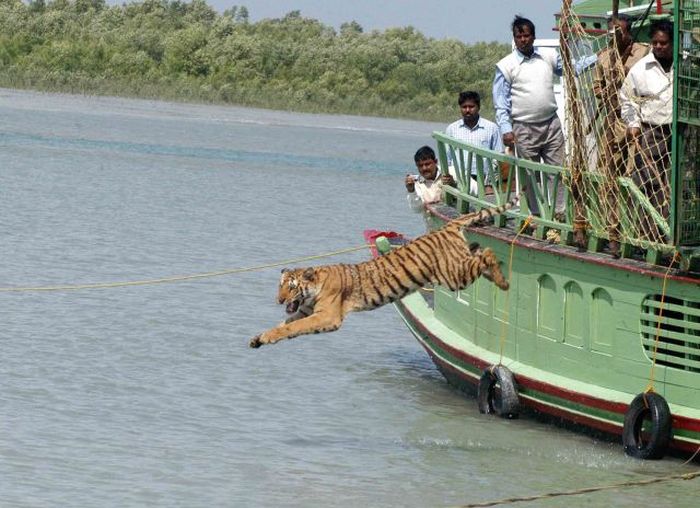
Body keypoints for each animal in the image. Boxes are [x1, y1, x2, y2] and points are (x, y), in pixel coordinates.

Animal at [249, 195, 516, 350]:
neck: (312, 289)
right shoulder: (304, 311)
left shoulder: (327, 316)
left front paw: (267, 336)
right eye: (280, 286)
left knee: (488, 253)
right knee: (478, 253)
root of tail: (447, 226)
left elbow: (292, 327)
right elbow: (284, 324)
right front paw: (259, 338)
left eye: (290, 287)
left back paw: (503, 281)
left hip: (453, 276)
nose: (279, 300)